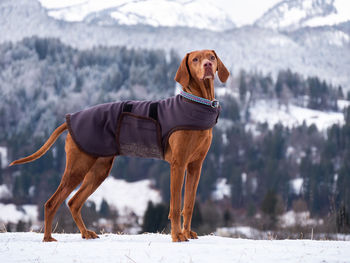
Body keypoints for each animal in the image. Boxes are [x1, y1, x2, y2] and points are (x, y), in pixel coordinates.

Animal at [9, 49, 230, 243]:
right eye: (195, 59)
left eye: (211, 57)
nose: (208, 65)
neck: (196, 103)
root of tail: (71, 119)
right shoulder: (178, 164)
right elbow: (175, 206)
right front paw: (177, 236)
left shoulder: (195, 167)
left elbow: (189, 204)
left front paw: (188, 233)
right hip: (77, 168)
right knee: (52, 202)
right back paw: (47, 238)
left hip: (99, 169)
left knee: (73, 202)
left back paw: (85, 233)